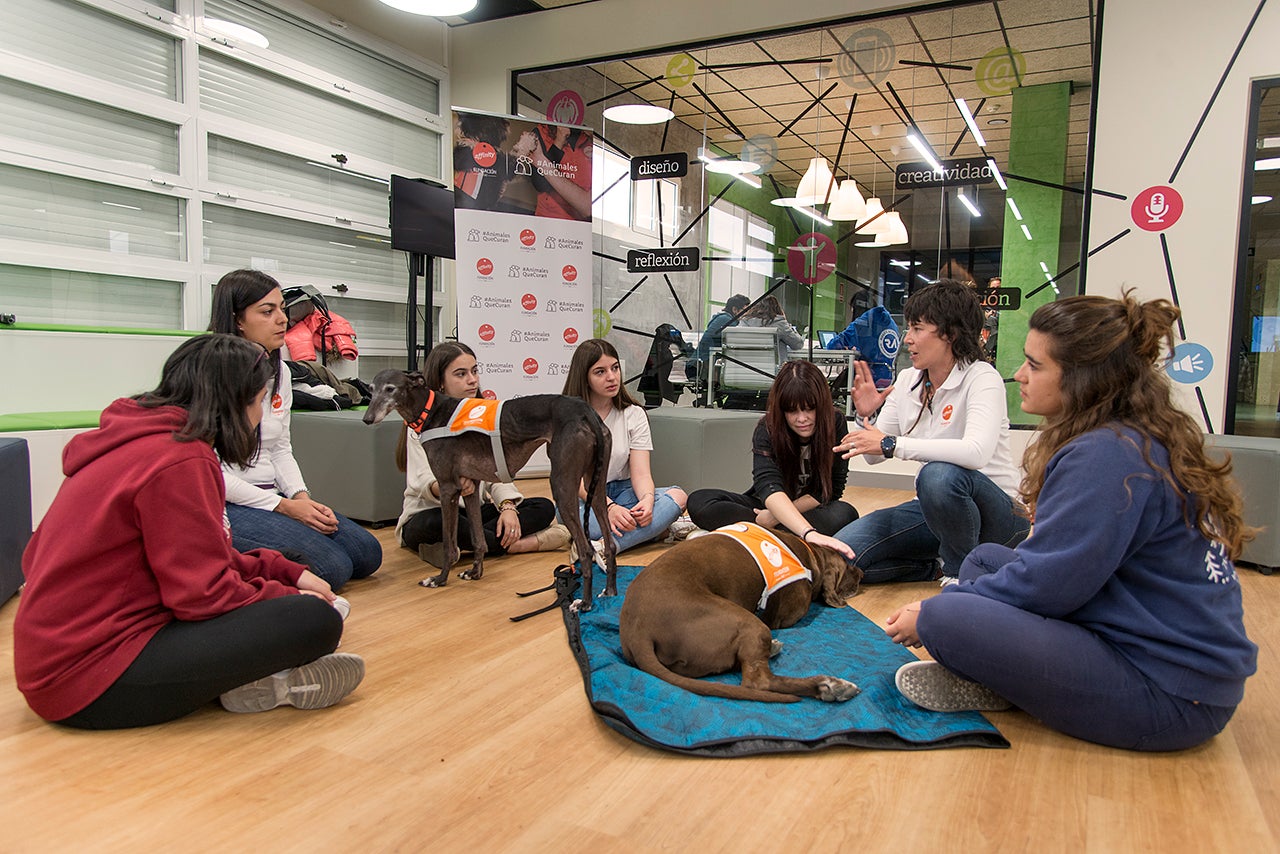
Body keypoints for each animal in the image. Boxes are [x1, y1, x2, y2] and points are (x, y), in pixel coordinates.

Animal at [360, 371, 619, 612]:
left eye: (390, 388)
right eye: (371, 389)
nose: (367, 419)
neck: (430, 411)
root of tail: (585, 411)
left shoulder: (447, 487)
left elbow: (448, 544)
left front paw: (439, 579)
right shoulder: (470, 486)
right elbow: (478, 538)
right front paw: (475, 573)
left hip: (562, 486)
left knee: (585, 550)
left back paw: (584, 603)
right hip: (595, 485)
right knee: (610, 543)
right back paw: (609, 591)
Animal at [616, 524, 865, 706]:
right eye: (847, 565)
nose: (862, 572)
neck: (810, 554)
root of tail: (637, 630)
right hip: (748, 622)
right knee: (758, 682)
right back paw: (831, 686)